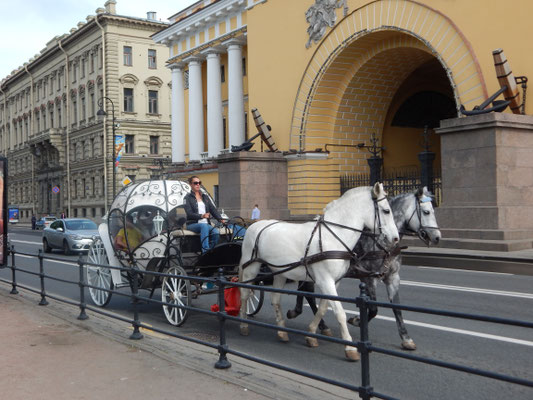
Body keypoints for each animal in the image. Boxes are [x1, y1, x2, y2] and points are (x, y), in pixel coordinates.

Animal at [238, 183, 400, 360]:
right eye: (386, 210)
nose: (396, 238)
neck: (333, 236)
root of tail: (254, 225)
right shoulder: (326, 280)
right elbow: (339, 312)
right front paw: (350, 347)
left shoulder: (334, 281)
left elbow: (323, 308)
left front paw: (311, 334)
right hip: (251, 269)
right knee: (245, 294)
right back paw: (244, 325)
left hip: (280, 272)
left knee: (275, 299)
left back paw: (282, 331)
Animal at [286, 187, 440, 350]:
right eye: (426, 212)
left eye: (433, 210)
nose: (437, 237)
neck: (381, 242)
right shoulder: (369, 278)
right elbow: (373, 309)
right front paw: (357, 320)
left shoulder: (393, 278)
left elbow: (397, 308)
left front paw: (406, 338)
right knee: (308, 292)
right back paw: (319, 324)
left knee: (305, 290)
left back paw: (304, 316)